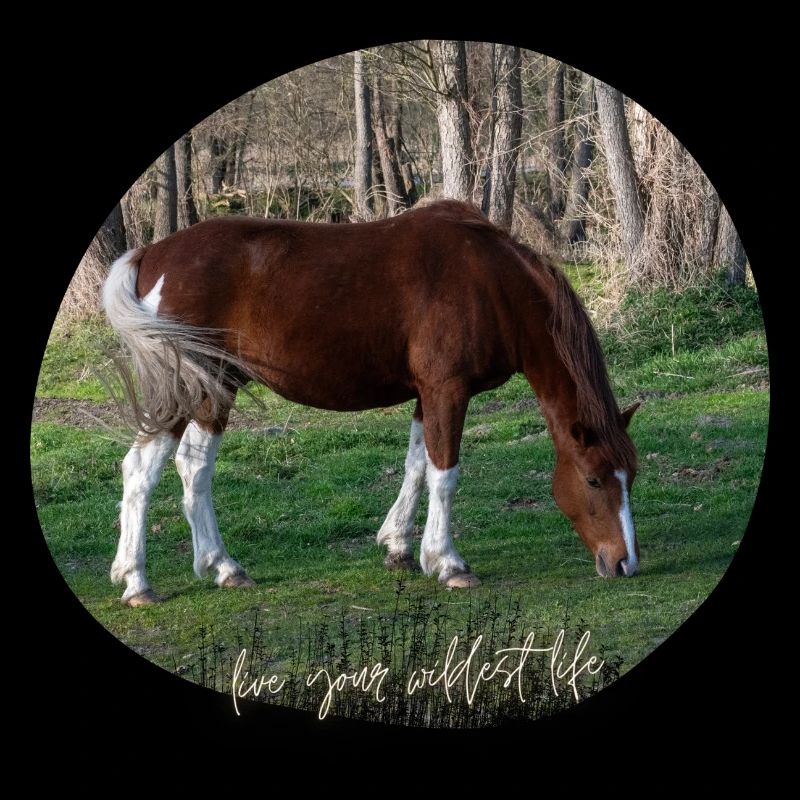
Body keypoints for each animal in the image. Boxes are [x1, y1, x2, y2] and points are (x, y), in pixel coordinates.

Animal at [101, 199, 640, 607]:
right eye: (593, 479)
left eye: (631, 477)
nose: (625, 563)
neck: (490, 281)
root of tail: (154, 254)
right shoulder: (447, 390)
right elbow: (445, 475)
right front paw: (447, 562)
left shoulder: (428, 395)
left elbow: (418, 466)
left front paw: (399, 547)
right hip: (192, 387)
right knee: (150, 470)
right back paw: (141, 581)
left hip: (215, 387)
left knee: (185, 467)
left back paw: (217, 568)